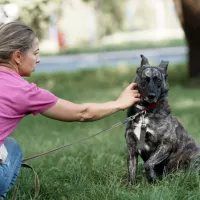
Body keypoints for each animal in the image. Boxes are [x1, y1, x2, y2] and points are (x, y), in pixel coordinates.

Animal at [126, 54, 200, 184]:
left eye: (159, 80)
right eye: (145, 79)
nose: (151, 96)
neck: (145, 112)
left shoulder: (166, 145)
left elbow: (148, 163)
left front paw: (152, 178)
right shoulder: (131, 149)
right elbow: (132, 172)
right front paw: (131, 187)